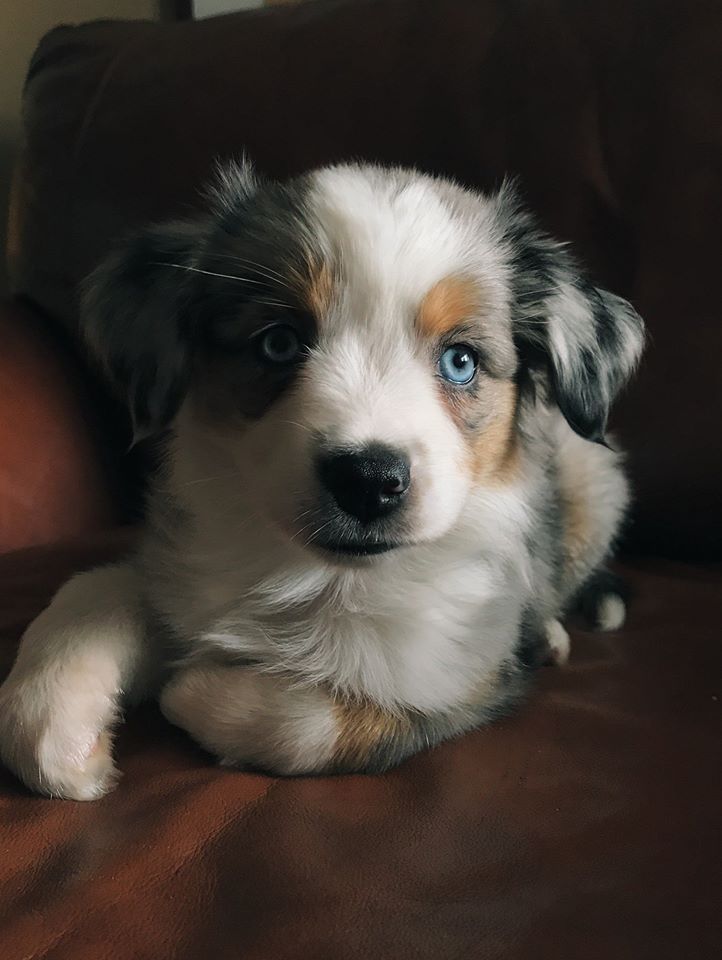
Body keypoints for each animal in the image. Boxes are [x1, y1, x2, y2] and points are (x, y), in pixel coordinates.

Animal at [0, 161, 640, 800]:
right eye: (278, 342)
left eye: (461, 361)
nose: (368, 480)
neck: (326, 580)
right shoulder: (177, 563)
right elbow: (93, 589)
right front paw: (53, 728)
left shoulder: (461, 682)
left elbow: (315, 723)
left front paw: (193, 689)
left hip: (593, 477)